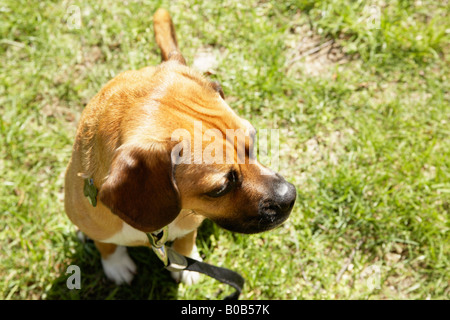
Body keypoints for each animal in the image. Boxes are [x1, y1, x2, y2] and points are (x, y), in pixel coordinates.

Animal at [64, 8, 296, 284]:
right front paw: (115, 264)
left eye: (253, 142)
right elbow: (106, 244)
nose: (290, 196)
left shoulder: (191, 222)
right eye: (220, 189)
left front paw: (186, 268)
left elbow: (186, 240)